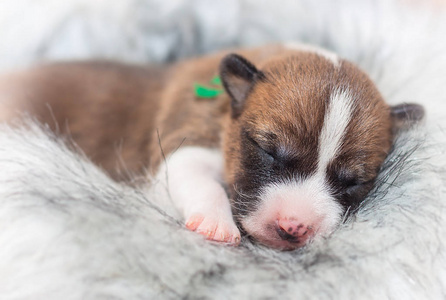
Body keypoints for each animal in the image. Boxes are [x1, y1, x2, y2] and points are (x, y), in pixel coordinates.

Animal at [0, 44, 426, 251]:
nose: (293, 228)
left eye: (352, 182)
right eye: (269, 152)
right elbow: (197, 177)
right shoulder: (185, 141)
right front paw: (216, 223)